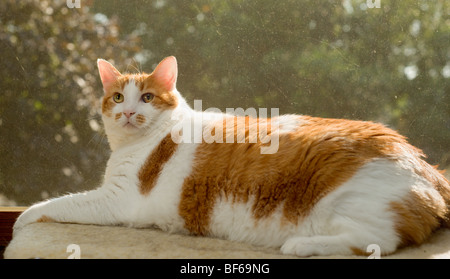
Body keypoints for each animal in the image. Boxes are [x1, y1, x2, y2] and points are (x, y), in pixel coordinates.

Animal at [13, 55, 450, 258]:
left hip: (345, 201)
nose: (128, 112)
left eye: (147, 97)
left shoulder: (116, 200)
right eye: (118, 97)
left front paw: (20, 220)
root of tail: (427, 165)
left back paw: (300, 245)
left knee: (378, 242)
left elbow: (57, 204)